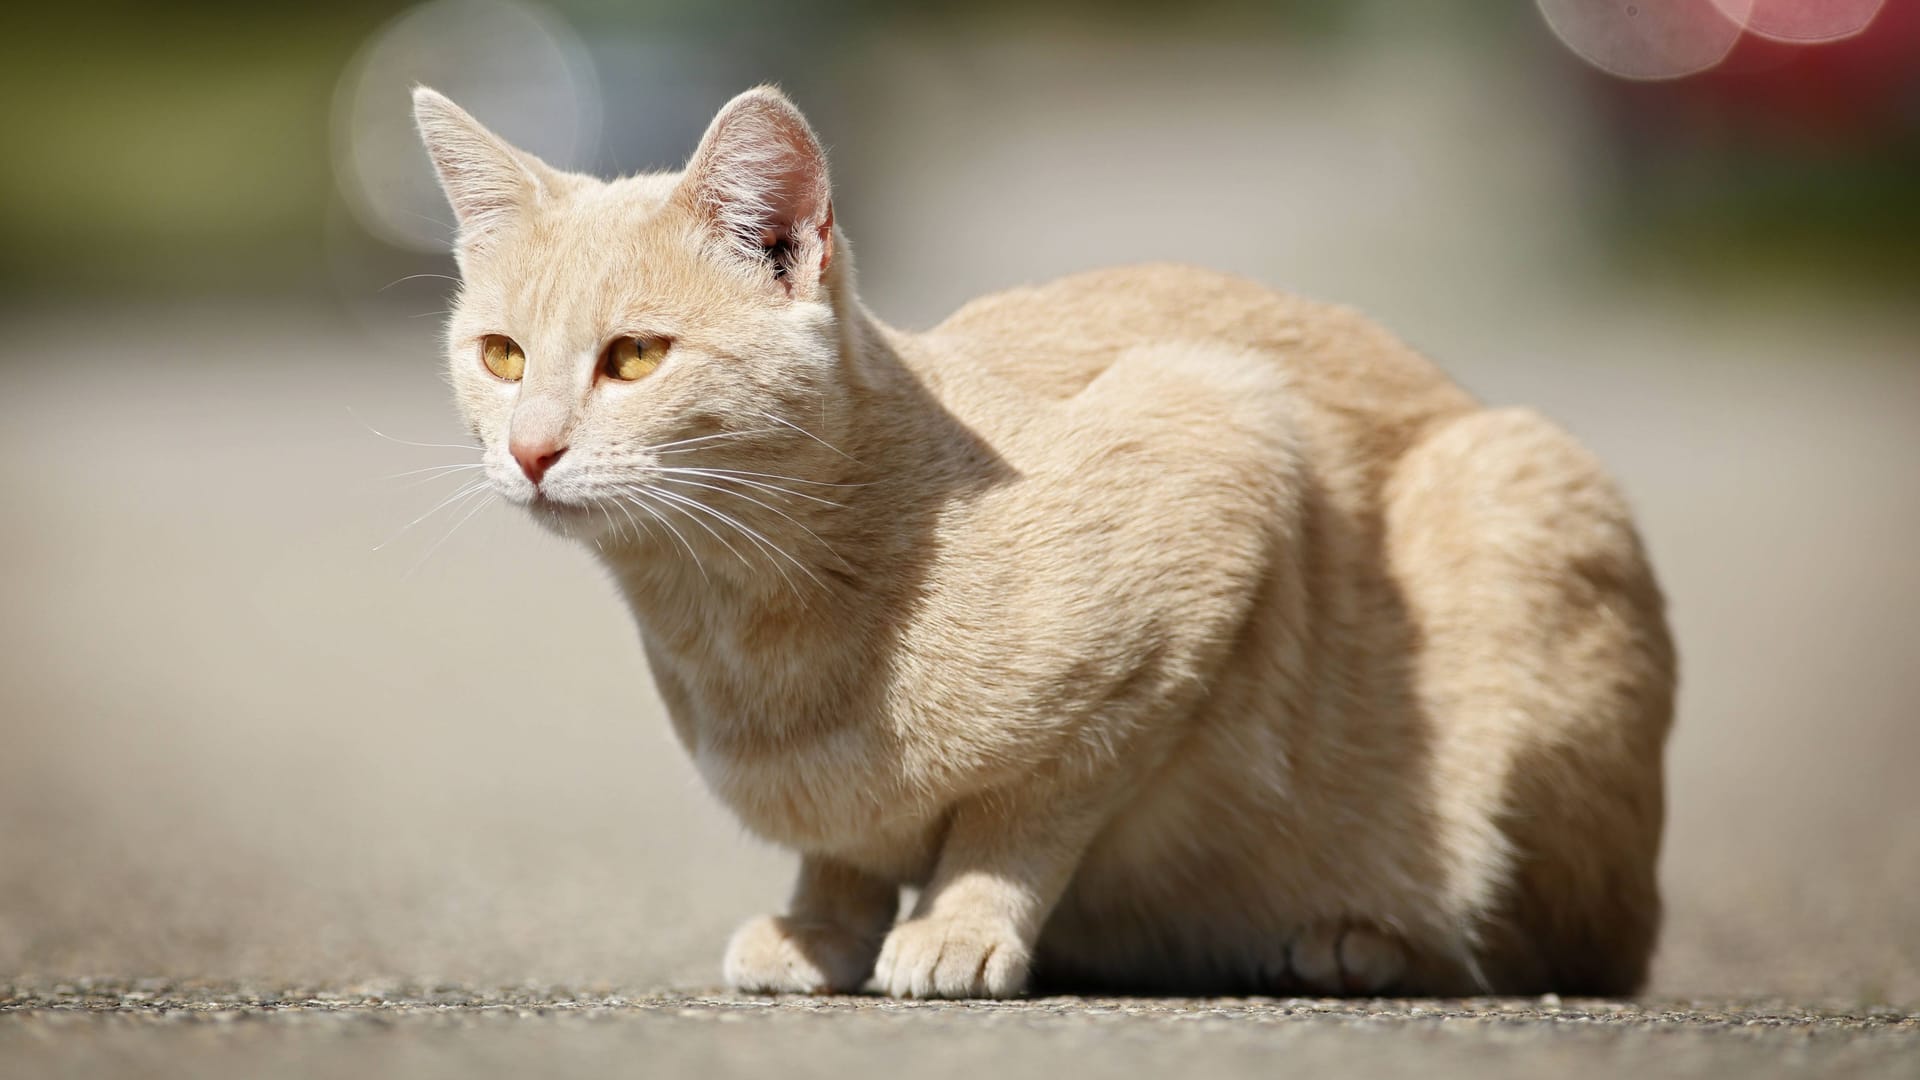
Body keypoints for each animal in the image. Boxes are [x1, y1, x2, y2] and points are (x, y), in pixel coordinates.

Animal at [416, 85, 1666, 999]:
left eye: (634, 358)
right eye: (502, 357)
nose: (529, 450)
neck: (739, 625)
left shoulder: (1221, 453)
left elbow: (1027, 810)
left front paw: (961, 924)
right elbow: (846, 850)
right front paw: (824, 924)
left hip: (1517, 500)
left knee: (1557, 955)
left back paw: (1363, 943)